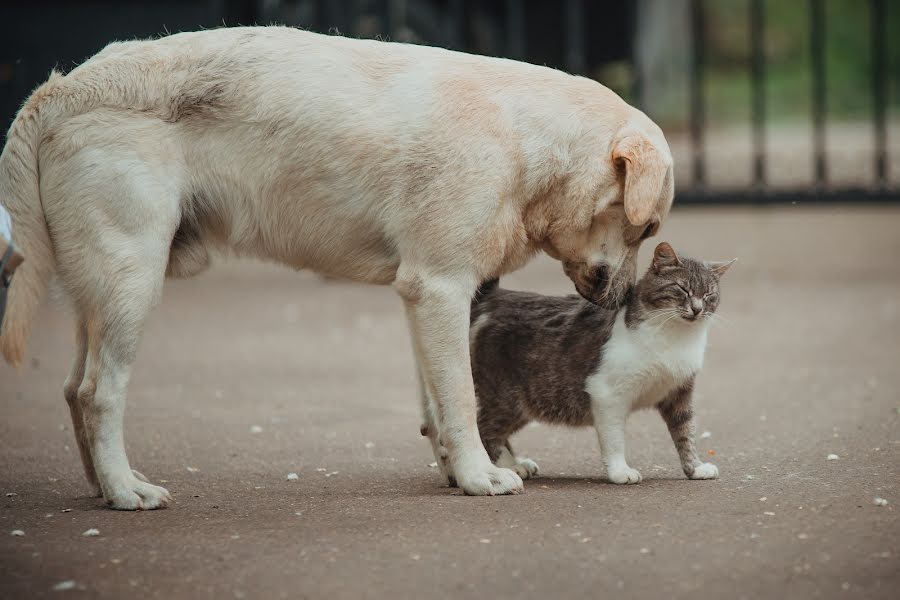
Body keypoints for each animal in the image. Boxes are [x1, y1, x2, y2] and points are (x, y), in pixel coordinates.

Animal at [0, 25, 672, 508]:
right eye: (646, 228)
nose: (620, 299)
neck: (524, 139)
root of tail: (60, 89)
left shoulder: (424, 298)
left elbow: (436, 402)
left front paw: (458, 471)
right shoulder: (441, 289)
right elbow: (459, 396)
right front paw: (481, 477)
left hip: (101, 291)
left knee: (73, 389)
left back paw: (102, 488)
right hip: (132, 283)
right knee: (98, 394)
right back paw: (125, 491)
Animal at [422, 241, 732, 486]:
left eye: (709, 295)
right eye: (681, 289)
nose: (697, 309)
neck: (674, 336)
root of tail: (492, 298)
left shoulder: (679, 393)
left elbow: (686, 432)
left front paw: (695, 468)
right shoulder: (608, 394)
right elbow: (614, 439)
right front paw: (620, 472)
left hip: (523, 403)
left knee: (494, 432)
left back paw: (514, 465)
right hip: (508, 399)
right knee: (483, 429)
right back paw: (495, 471)